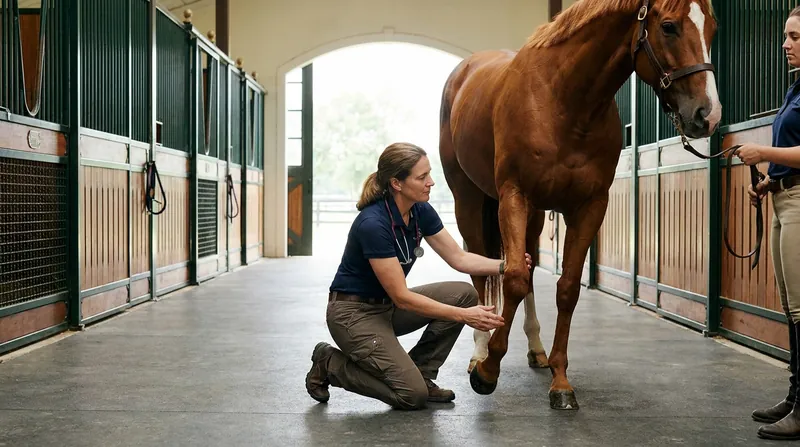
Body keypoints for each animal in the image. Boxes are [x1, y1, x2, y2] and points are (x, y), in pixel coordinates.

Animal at [439, 0, 720, 410]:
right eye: (668, 27)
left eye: (713, 29)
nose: (707, 115)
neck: (564, 103)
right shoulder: (514, 195)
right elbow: (513, 279)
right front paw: (488, 371)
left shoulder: (589, 206)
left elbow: (566, 288)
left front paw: (560, 381)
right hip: (470, 201)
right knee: (481, 268)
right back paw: (478, 352)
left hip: (535, 215)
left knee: (524, 267)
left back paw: (536, 349)